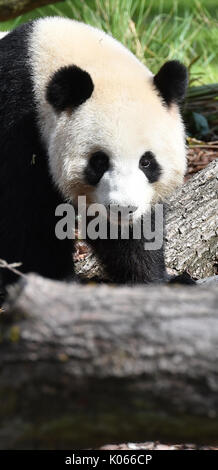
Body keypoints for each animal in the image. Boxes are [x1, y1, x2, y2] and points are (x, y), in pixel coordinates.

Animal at [0, 16, 187, 286]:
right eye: (99, 161)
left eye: (147, 162)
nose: (123, 208)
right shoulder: (17, 127)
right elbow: (27, 222)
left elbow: (129, 235)